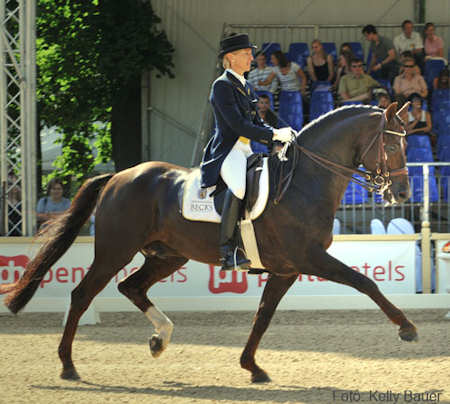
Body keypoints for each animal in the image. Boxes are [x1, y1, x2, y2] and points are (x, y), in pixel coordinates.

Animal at [0, 101, 416, 382]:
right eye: (392, 146)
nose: (402, 192)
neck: (303, 180)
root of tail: (118, 176)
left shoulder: (286, 269)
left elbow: (263, 316)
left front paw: (252, 366)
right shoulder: (309, 257)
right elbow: (365, 282)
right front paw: (406, 328)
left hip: (168, 256)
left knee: (130, 287)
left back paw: (160, 339)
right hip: (115, 250)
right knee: (82, 295)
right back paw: (68, 364)